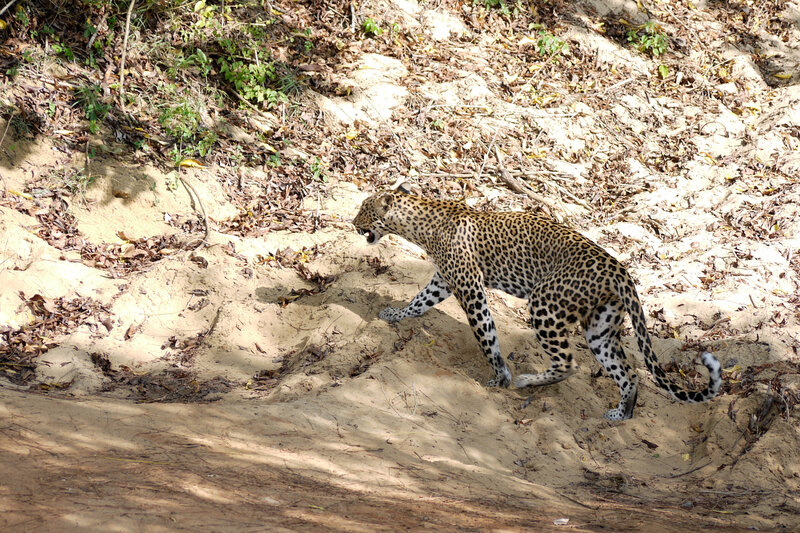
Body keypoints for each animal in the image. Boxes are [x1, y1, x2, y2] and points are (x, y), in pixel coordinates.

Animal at [353, 187, 722, 420]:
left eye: (364, 210)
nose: (352, 224)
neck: (422, 226)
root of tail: (619, 270)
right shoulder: (445, 280)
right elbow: (419, 301)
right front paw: (395, 313)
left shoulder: (470, 287)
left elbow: (485, 334)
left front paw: (500, 377)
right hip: (600, 328)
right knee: (627, 372)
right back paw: (621, 414)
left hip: (545, 304)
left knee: (569, 363)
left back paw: (526, 381)